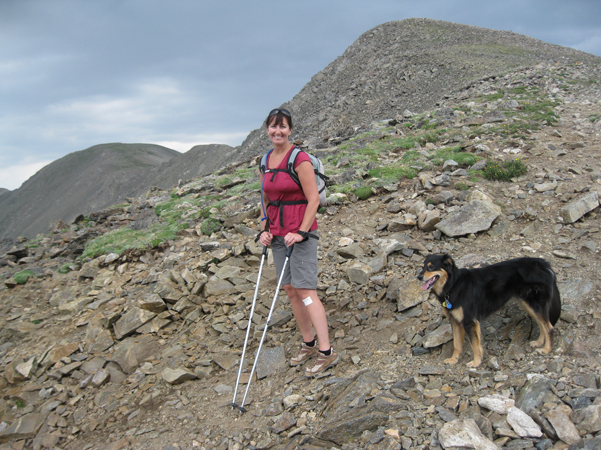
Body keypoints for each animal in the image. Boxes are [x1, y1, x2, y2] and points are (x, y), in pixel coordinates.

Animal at [414, 255, 560, 368]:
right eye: (422, 267)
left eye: (431, 267)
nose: (418, 277)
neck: (453, 285)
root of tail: (544, 264)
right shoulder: (455, 321)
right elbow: (456, 344)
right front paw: (454, 360)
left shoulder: (469, 321)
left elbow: (475, 345)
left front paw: (476, 362)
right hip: (528, 304)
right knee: (542, 324)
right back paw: (539, 342)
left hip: (534, 303)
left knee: (549, 327)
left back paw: (546, 349)